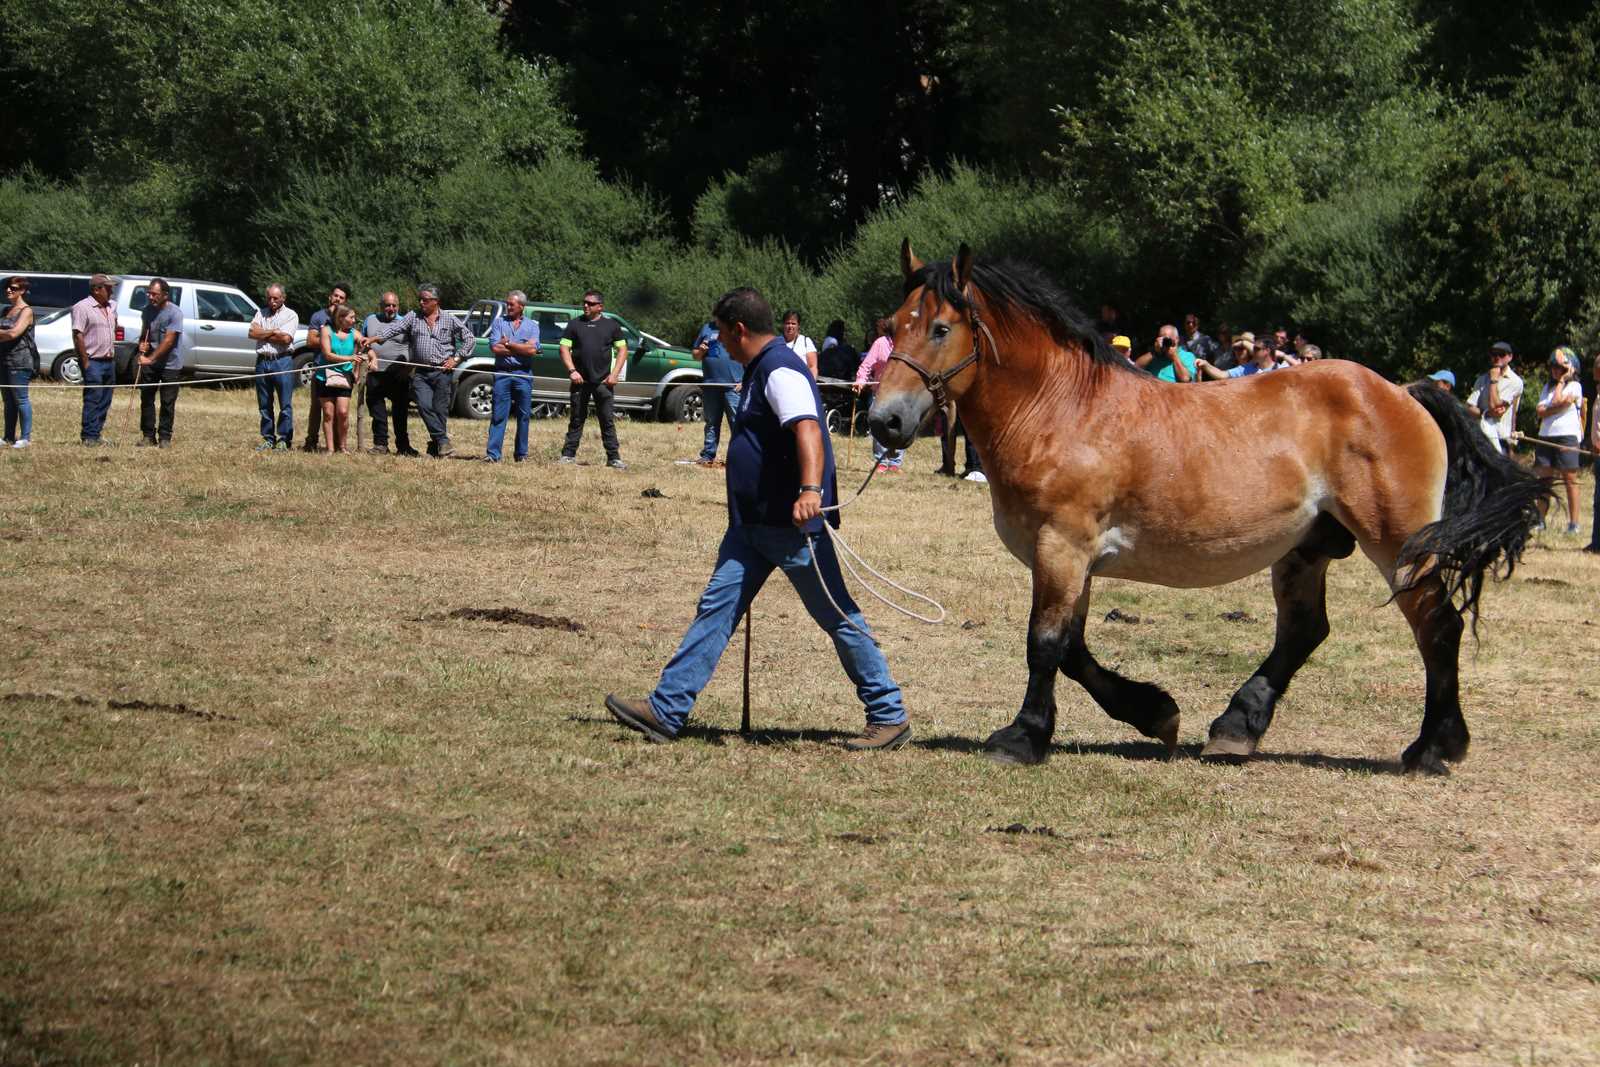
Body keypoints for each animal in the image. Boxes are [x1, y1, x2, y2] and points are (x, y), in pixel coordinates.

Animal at [870, 244, 1542, 771]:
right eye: (893, 324)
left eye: (939, 329)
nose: (884, 421)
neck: (1062, 409)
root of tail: (1403, 391)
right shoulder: (1070, 559)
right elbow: (1076, 651)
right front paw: (1155, 713)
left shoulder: (1062, 546)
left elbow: (1047, 644)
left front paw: (1023, 738)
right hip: (1306, 550)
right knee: (1305, 632)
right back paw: (1236, 728)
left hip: (1397, 543)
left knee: (1437, 628)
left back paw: (1434, 748)